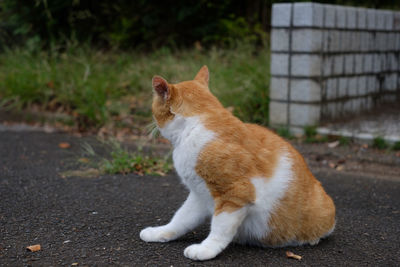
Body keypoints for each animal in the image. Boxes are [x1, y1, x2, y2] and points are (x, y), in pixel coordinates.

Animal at [139, 66, 336, 260]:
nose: (152, 126)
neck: (197, 124)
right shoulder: (199, 194)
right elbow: (181, 219)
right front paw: (160, 232)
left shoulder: (235, 194)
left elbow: (220, 228)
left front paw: (206, 249)